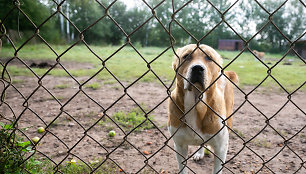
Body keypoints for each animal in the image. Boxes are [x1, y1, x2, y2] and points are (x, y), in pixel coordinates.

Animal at [169, 44, 238, 173]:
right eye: (186, 56)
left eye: (209, 58)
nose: (197, 68)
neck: (196, 103)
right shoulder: (179, 146)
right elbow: (182, 169)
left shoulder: (221, 148)